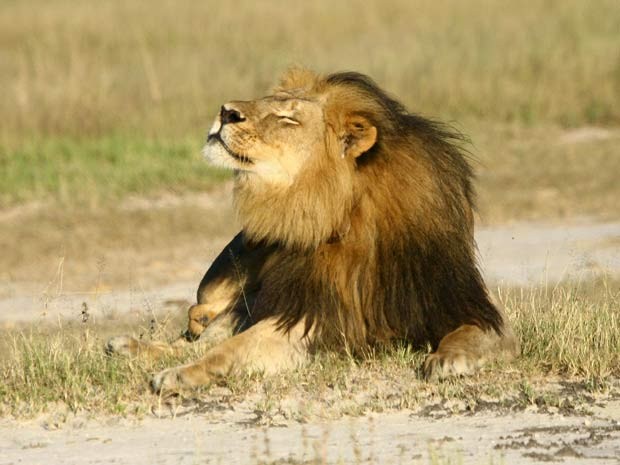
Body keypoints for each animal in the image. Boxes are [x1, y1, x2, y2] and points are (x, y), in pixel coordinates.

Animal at [106, 67, 520, 390]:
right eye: (269, 100)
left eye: (288, 119)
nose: (225, 112)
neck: (341, 213)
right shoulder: (308, 313)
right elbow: (230, 347)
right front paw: (180, 374)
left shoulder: (464, 305)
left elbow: (475, 333)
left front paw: (448, 359)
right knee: (198, 335)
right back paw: (130, 347)